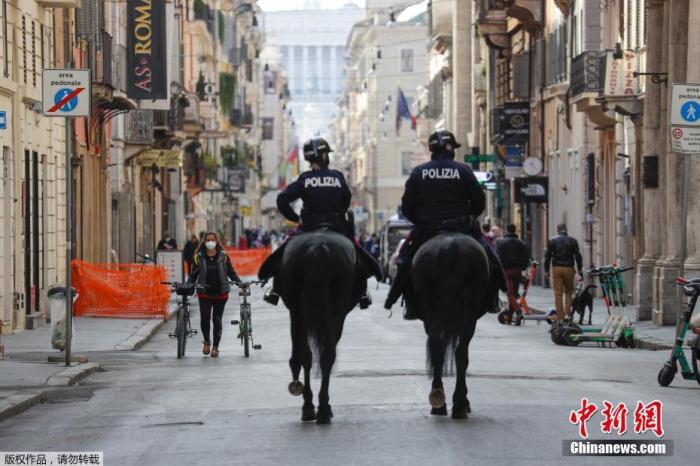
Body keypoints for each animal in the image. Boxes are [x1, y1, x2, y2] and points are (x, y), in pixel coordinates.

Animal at [270, 231, 360, 424]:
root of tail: (318, 249)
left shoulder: (296, 314)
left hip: (299, 312)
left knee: (308, 356)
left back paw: (310, 406)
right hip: (333, 311)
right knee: (325, 356)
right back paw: (322, 407)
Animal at [412, 232, 490, 418]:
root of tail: (450, 246)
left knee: (437, 350)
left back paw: (438, 400)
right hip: (470, 314)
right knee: (460, 353)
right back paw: (459, 404)